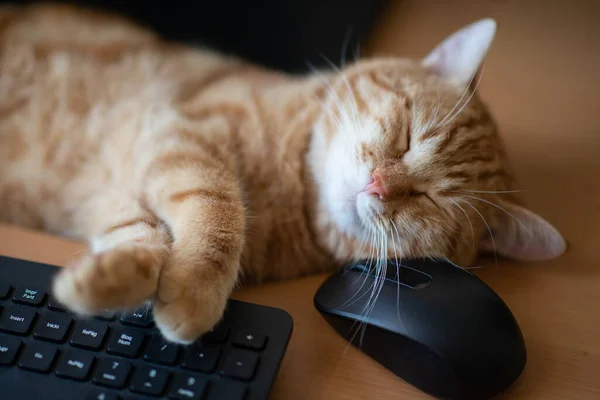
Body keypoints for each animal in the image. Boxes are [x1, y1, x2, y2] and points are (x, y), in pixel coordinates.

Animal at [0, 3, 568, 344]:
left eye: (428, 200)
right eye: (408, 136)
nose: (379, 185)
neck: (293, 186)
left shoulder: (116, 192)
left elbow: (146, 241)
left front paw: (105, 283)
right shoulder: (180, 129)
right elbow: (217, 209)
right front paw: (195, 290)